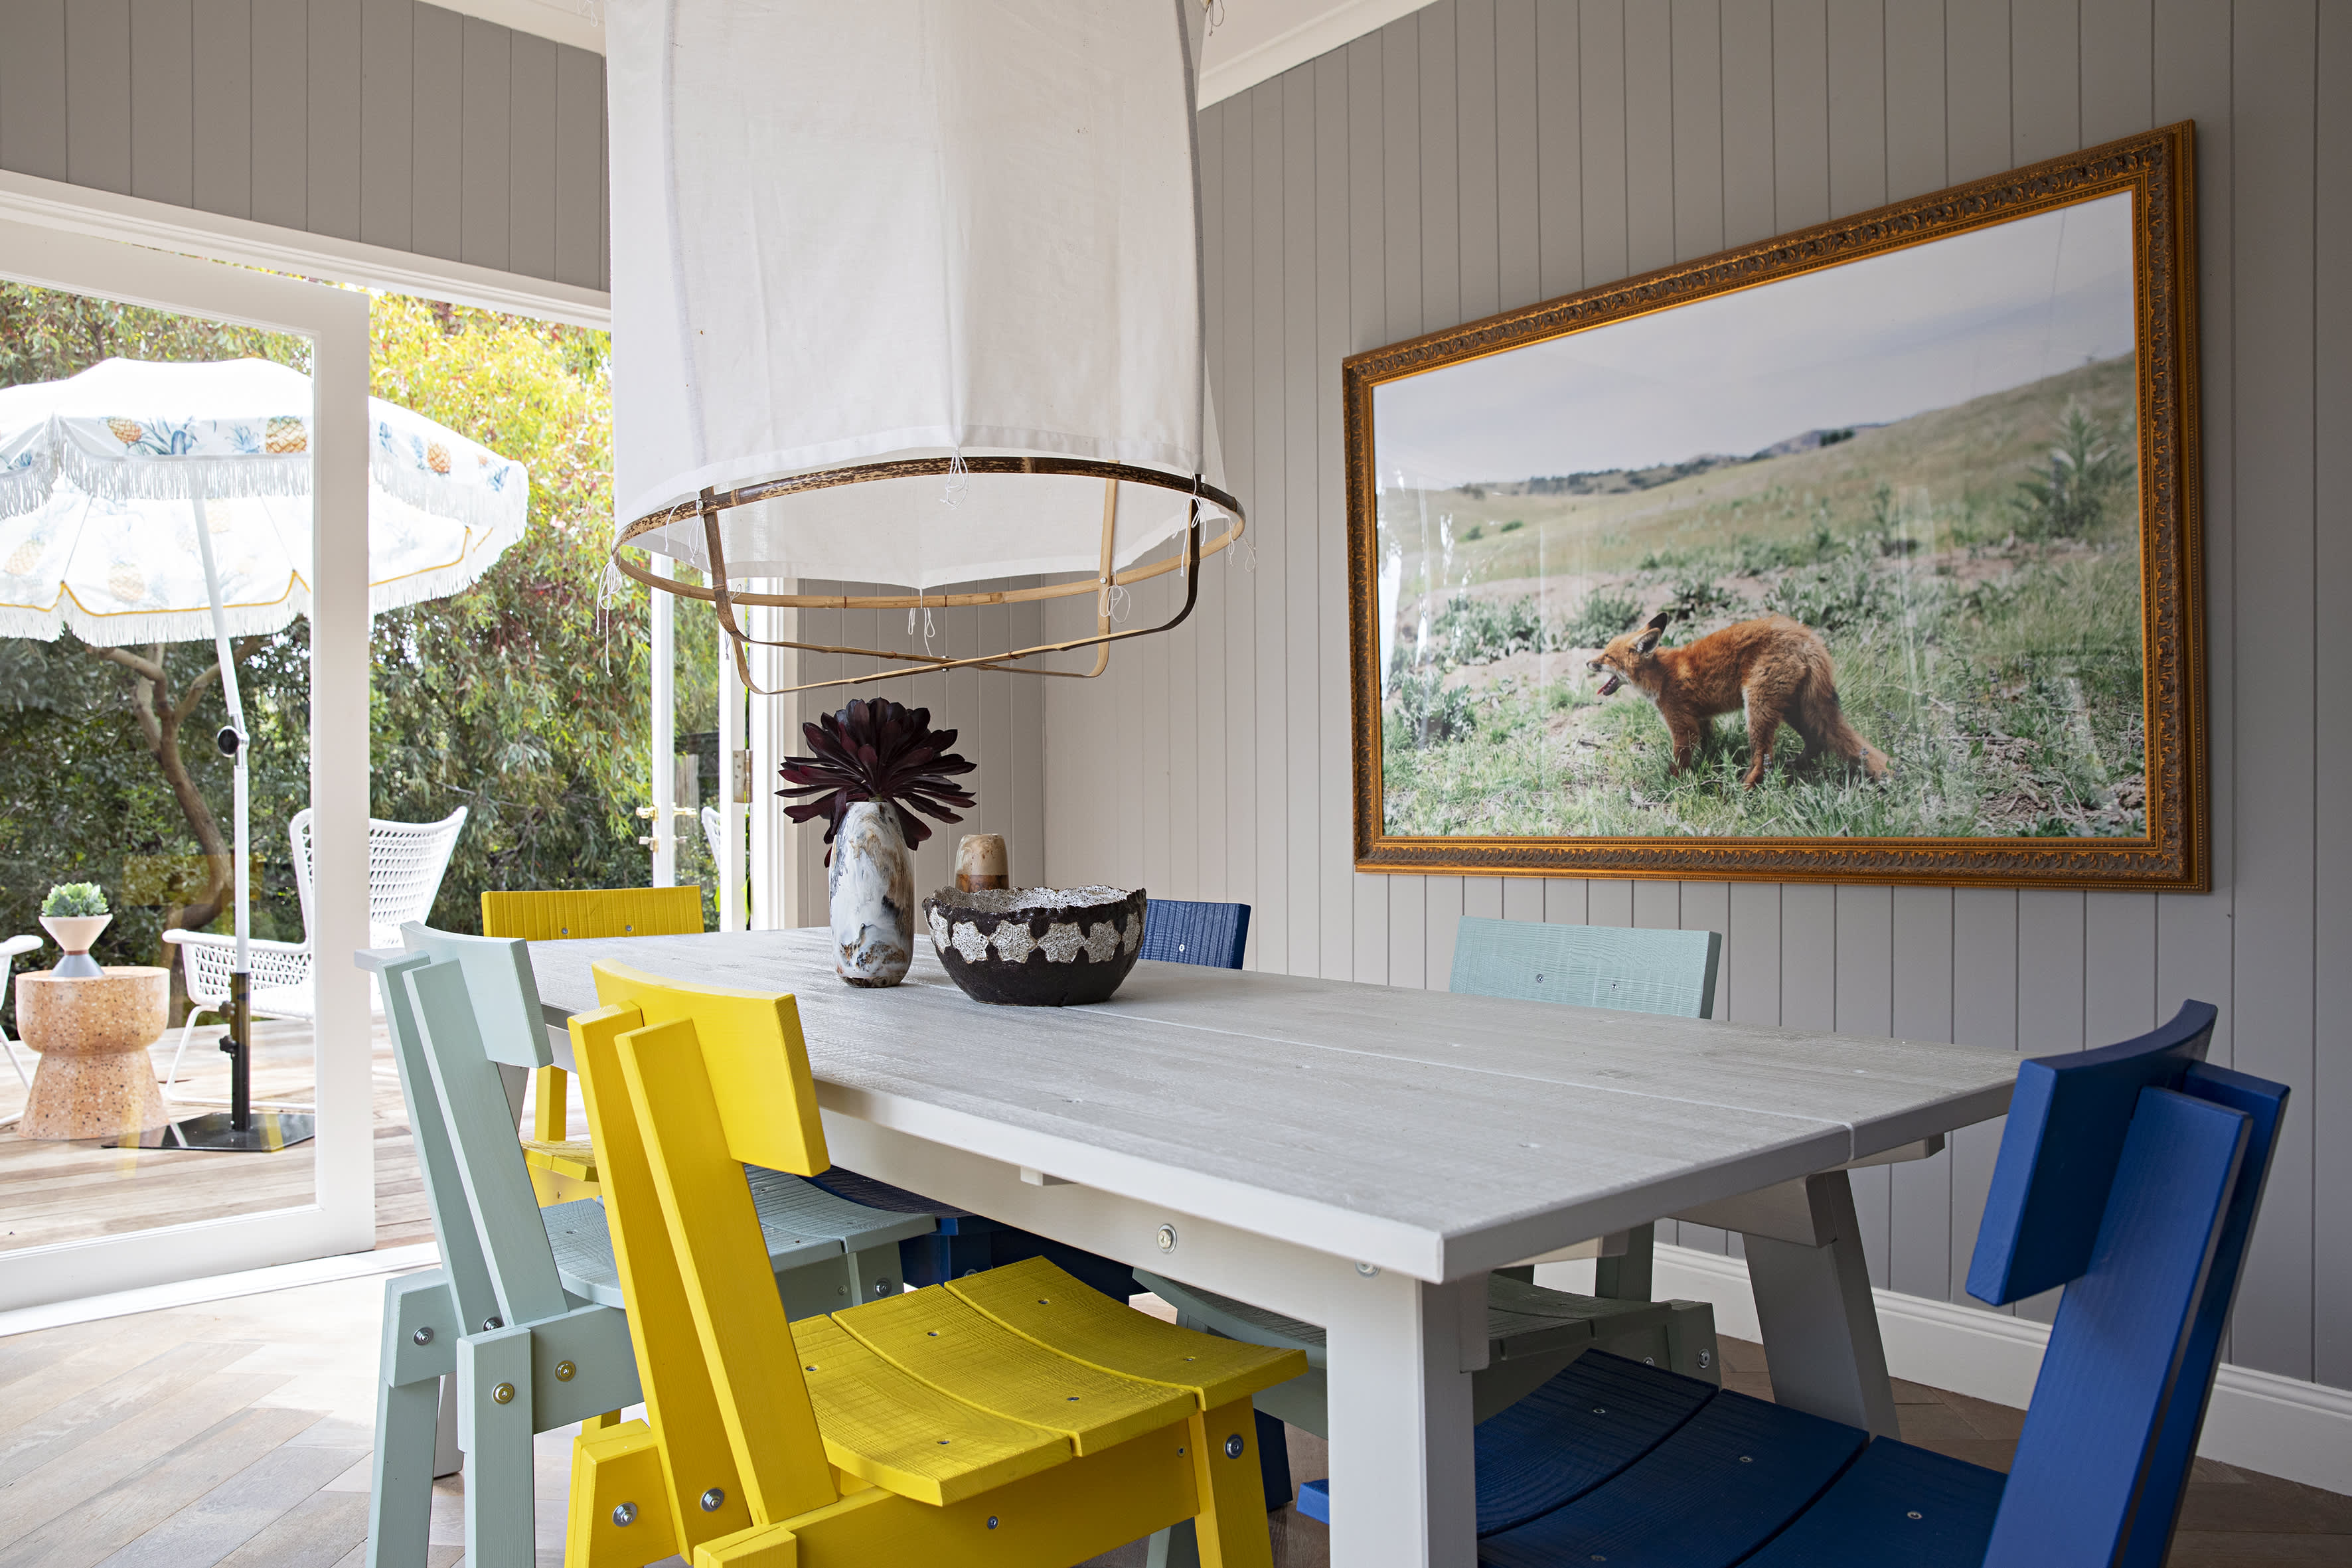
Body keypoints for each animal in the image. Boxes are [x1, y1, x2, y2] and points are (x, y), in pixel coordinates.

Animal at [1580, 611, 1891, 789]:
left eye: (1607, 657)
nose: (1587, 663)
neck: (1661, 675)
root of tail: (1807, 637)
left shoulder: (1683, 725)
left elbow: (1681, 759)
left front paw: (1672, 781)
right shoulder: (1701, 719)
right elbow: (1707, 747)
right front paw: (1706, 766)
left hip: (1758, 708)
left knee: (1764, 758)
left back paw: (1745, 788)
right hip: (1794, 710)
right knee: (1819, 741)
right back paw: (1796, 767)